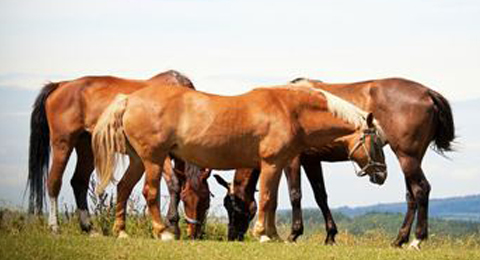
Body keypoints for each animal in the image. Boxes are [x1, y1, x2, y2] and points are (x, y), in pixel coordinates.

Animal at [26, 69, 210, 238]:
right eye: (185, 199)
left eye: (206, 201)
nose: (195, 234)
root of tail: (60, 85)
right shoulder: (159, 155)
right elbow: (173, 184)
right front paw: (171, 226)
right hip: (62, 144)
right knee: (54, 182)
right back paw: (54, 228)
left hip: (86, 147)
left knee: (79, 182)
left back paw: (89, 228)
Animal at [92, 82, 388, 242]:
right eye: (376, 142)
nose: (383, 175)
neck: (289, 111)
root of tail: (129, 99)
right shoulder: (271, 164)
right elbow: (267, 199)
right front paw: (263, 234)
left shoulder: (277, 165)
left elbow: (272, 201)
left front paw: (274, 235)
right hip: (153, 159)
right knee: (149, 192)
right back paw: (162, 232)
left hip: (137, 160)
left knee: (123, 189)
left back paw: (121, 232)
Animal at [214, 77, 454, 248]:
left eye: (232, 205)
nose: (232, 237)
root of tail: (427, 93)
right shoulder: (312, 160)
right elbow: (321, 196)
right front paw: (330, 235)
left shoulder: (292, 160)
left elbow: (295, 195)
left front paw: (293, 234)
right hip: (412, 158)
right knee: (411, 195)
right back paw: (399, 240)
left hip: (407, 156)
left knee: (421, 189)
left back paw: (417, 239)